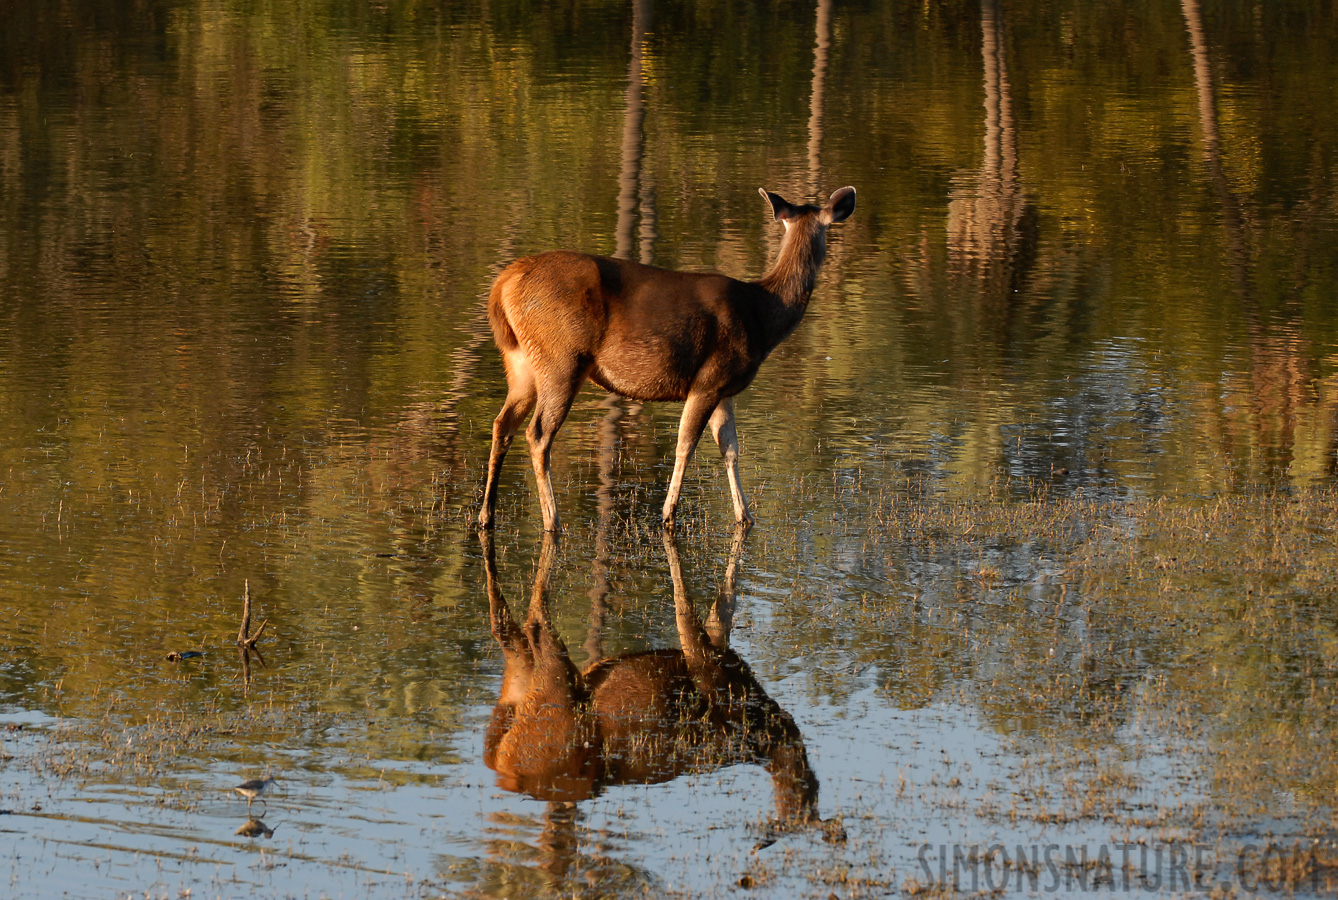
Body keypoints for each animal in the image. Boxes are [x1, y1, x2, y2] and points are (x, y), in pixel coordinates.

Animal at [476, 526, 840, 845]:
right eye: (796, 808)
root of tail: (502, 769)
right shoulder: (709, 665)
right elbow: (686, 606)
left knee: (511, 630)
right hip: (557, 693)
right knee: (534, 616)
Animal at [481, 184, 856, 529]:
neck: (763, 316)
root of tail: (503, 284)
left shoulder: (725, 389)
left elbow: (730, 448)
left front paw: (745, 516)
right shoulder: (709, 379)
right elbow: (686, 444)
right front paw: (667, 514)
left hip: (521, 361)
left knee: (502, 423)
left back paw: (487, 515)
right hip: (561, 358)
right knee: (538, 434)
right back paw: (552, 520)